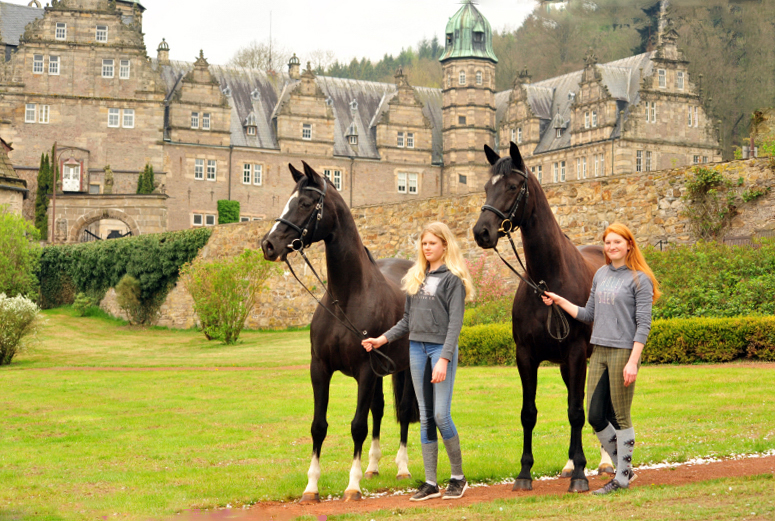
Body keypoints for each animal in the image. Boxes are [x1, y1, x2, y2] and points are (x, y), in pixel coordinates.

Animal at [260, 161, 418, 500]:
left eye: (306, 203)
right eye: (288, 200)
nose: (268, 244)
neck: (347, 296)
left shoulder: (365, 370)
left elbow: (357, 425)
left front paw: (352, 485)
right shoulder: (320, 368)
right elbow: (318, 426)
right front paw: (311, 487)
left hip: (408, 367)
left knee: (404, 409)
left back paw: (402, 468)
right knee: (380, 410)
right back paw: (373, 466)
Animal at [470, 141, 608, 492]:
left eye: (513, 186)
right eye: (486, 186)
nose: (482, 232)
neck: (547, 281)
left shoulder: (575, 353)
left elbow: (576, 412)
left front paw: (580, 475)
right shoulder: (526, 355)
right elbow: (528, 413)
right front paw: (524, 473)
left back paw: (605, 462)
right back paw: (572, 462)